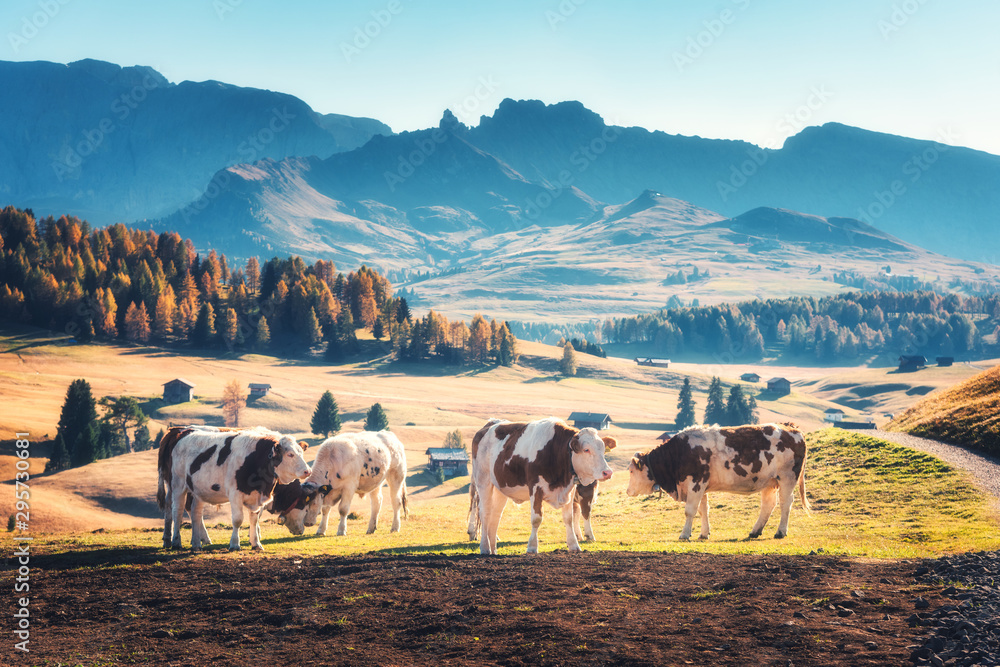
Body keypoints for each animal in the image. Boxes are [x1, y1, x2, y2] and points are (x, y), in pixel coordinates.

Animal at [156, 428, 310, 552]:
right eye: (290, 454)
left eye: (301, 453)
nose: (307, 471)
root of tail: (181, 432)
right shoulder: (235, 495)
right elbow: (237, 520)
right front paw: (235, 544)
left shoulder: (256, 497)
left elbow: (254, 519)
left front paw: (256, 543)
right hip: (178, 485)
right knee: (177, 511)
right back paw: (176, 542)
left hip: (197, 490)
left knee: (195, 513)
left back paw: (196, 544)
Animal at [272, 434, 408, 536]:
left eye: (309, 502)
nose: (308, 523)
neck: (332, 460)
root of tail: (390, 435)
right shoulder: (328, 492)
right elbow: (325, 509)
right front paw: (321, 530)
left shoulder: (349, 487)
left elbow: (343, 509)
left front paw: (341, 530)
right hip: (376, 481)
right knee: (376, 502)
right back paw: (371, 528)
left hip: (396, 476)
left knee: (396, 502)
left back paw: (395, 527)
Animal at [628, 422, 808, 544]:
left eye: (630, 471)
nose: (628, 491)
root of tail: (792, 428)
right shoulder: (701, 486)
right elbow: (703, 510)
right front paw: (703, 534)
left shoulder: (695, 483)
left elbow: (690, 511)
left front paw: (685, 534)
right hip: (769, 482)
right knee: (768, 504)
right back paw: (755, 531)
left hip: (787, 477)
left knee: (786, 503)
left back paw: (780, 532)